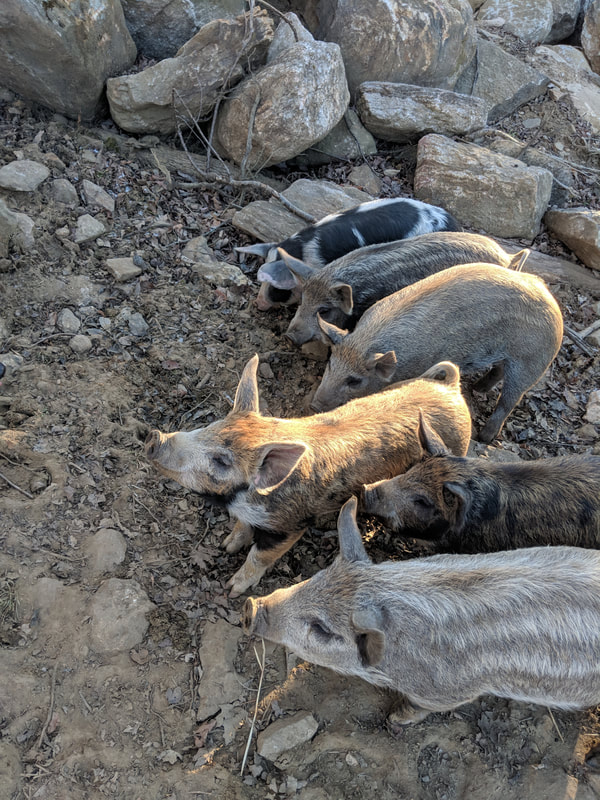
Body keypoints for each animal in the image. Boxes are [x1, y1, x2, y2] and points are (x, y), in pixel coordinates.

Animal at [145, 355, 471, 597]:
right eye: (209, 427)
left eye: (222, 461)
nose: (154, 438)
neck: (241, 500)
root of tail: (451, 389)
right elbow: (240, 530)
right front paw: (225, 546)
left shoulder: (290, 526)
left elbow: (258, 557)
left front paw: (232, 589)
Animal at [243, 496, 600, 724]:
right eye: (315, 577)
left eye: (322, 629)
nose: (252, 607)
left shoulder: (448, 692)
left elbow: (421, 707)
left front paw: (395, 719)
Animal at [312, 263, 563, 443]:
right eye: (330, 364)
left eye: (354, 381)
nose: (313, 405)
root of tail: (548, 295)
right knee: (498, 370)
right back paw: (477, 388)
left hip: (531, 362)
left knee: (510, 399)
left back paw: (484, 438)